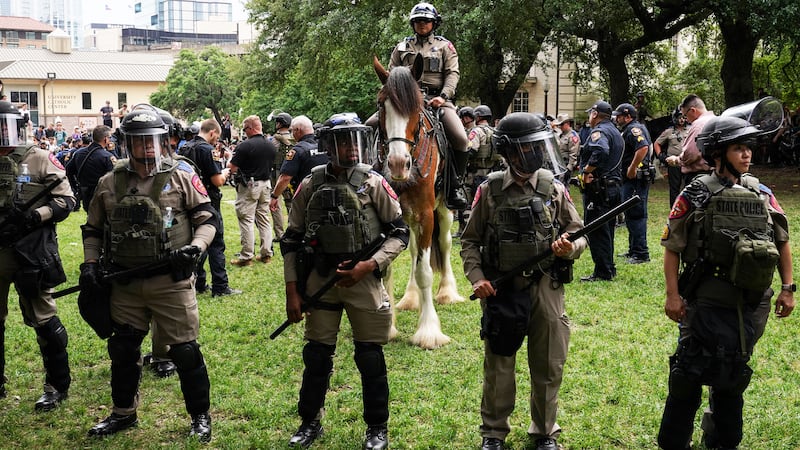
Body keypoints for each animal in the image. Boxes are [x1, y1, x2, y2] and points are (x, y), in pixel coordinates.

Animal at [374, 56, 462, 350]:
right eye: (382, 104)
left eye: (416, 106)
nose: (397, 164)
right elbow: (386, 268)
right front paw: (387, 326)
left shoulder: (425, 214)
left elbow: (425, 271)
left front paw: (429, 331)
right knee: (413, 251)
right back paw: (411, 298)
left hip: (443, 212)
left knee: (443, 245)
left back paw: (447, 292)